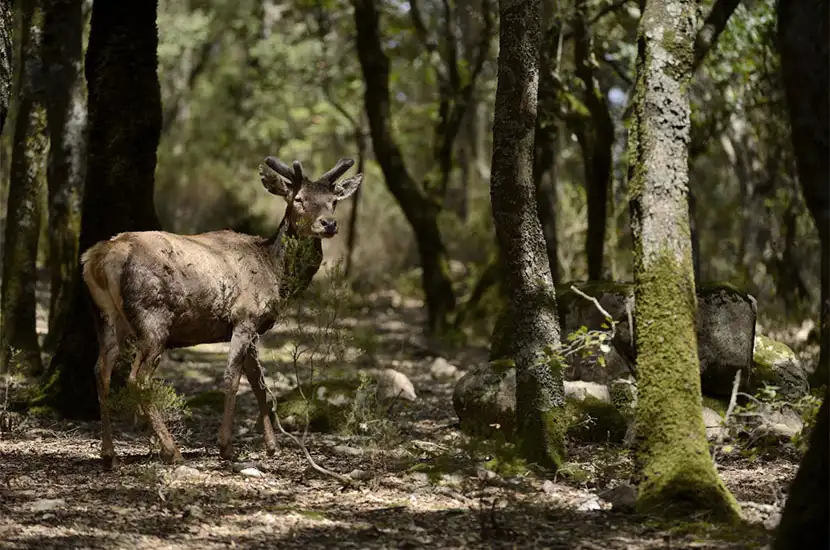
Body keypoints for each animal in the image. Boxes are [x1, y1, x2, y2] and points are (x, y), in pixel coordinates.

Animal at [81, 156, 363, 467]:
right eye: (298, 199)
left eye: (333, 201)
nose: (329, 224)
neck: (274, 272)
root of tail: (99, 258)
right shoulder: (245, 317)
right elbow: (232, 378)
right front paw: (226, 446)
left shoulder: (253, 328)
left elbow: (259, 384)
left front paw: (272, 446)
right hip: (153, 318)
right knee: (138, 379)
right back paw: (171, 450)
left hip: (104, 317)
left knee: (101, 371)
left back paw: (109, 453)